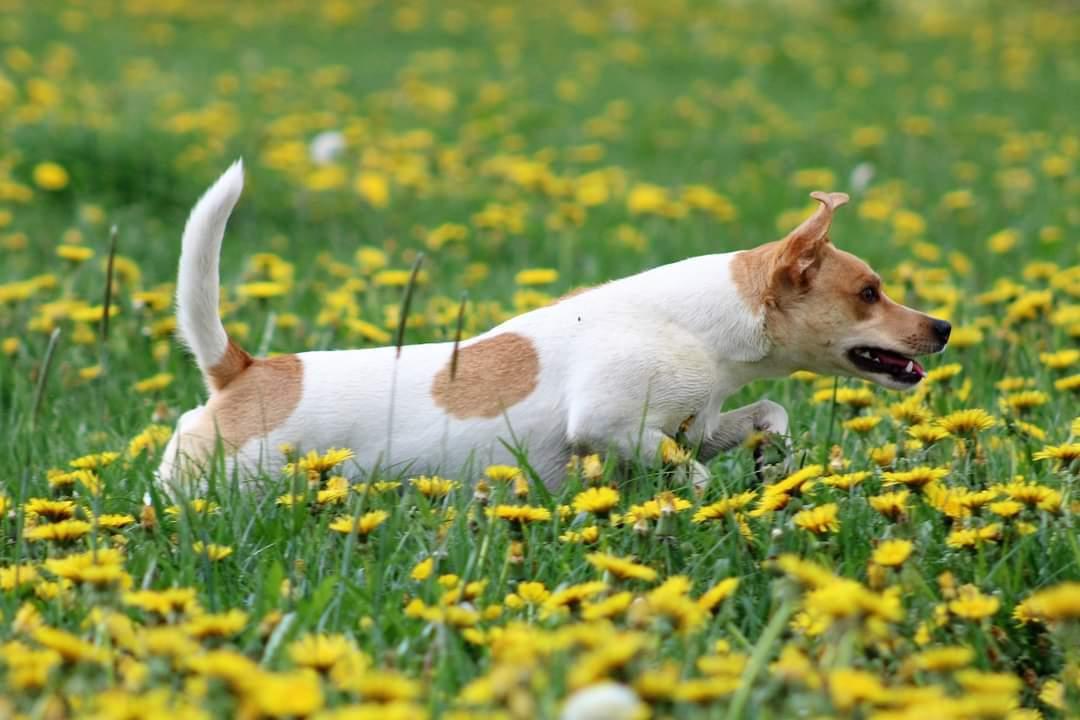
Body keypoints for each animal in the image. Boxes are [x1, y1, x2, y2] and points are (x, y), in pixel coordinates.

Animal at [156, 160, 950, 492]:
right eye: (870, 293)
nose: (942, 327)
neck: (700, 327)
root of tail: (243, 369)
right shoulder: (608, 424)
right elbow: (683, 466)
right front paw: (701, 495)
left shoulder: (700, 418)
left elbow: (766, 416)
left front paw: (771, 466)